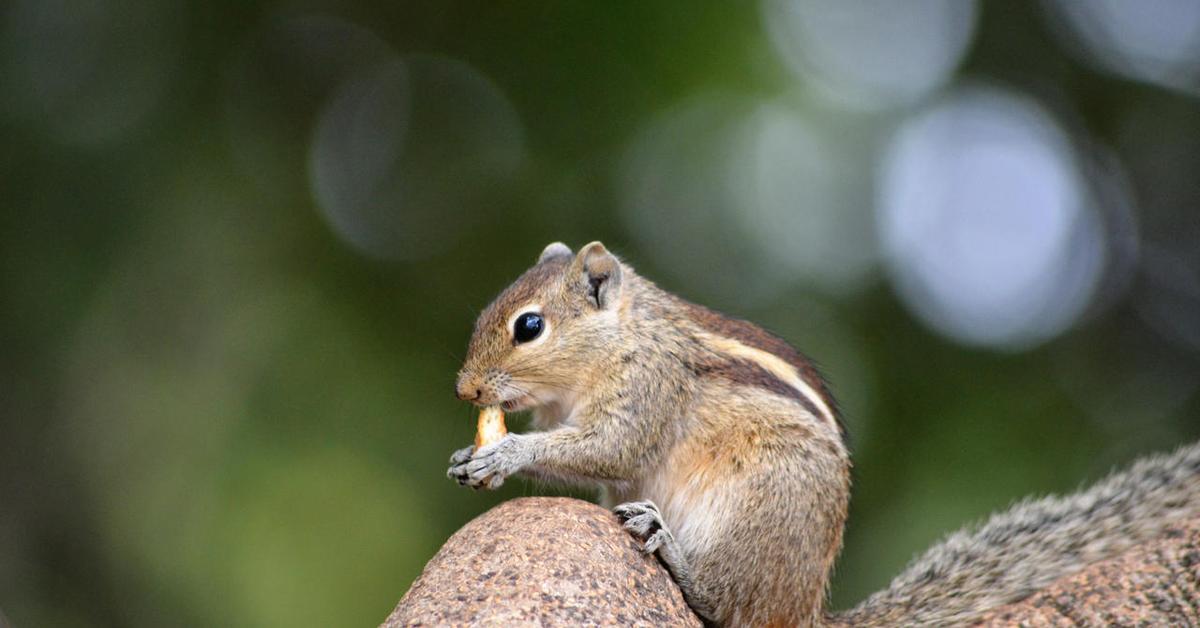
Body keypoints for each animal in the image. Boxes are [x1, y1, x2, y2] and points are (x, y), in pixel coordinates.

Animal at [446, 240, 1200, 624]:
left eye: (529, 326)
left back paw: (673, 550)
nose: (466, 390)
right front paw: (468, 453)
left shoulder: (650, 391)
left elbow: (607, 449)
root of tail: (808, 611)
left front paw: (505, 451)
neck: (623, 336)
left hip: (761, 511)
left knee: (730, 605)